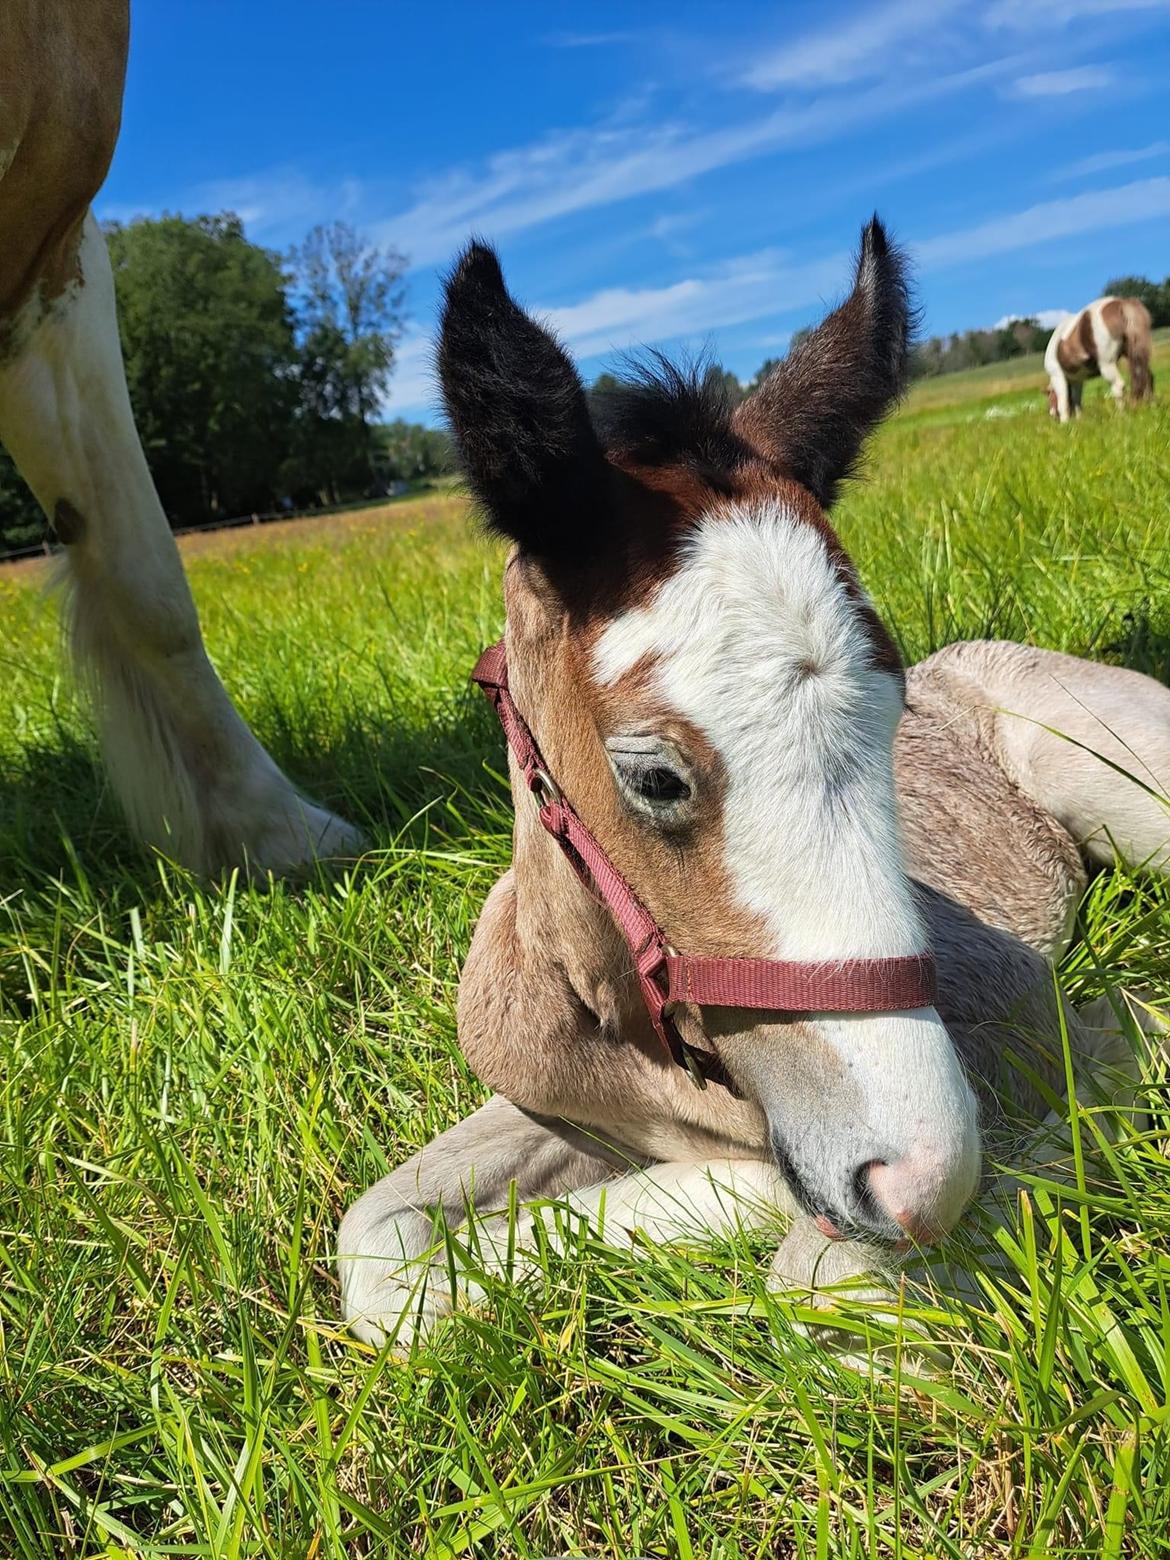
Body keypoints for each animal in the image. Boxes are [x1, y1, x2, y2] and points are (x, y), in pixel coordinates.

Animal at [1048, 293, 1160, 421]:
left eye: (1049, 396)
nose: (1051, 414)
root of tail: (1121, 304)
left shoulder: (1057, 376)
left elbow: (1063, 402)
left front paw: (1065, 423)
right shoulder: (1077, 379)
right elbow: (1077, 400)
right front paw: (1079, 420)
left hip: (1107, 364)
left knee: (1118, 386)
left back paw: (1121, 415)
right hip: (1136, 354)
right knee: (1147, 377)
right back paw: (1151, 407)